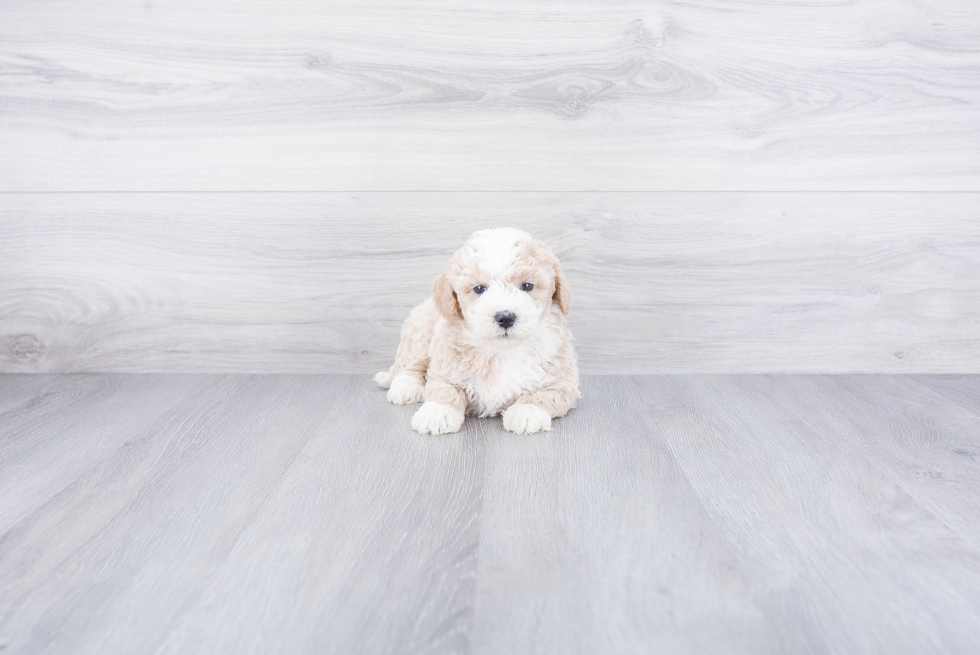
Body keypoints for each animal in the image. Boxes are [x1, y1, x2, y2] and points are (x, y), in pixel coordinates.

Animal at [372, 228, 580, 438]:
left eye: (527, 286)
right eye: (479, 288)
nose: (505, 317)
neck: (501, 351)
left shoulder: (563, 380)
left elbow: (543, 394)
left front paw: (527, 412)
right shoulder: (445, 364)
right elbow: (444, 387)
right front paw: (438, 412)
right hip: (422, 336)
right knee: (411, 365)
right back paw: (406, 387)